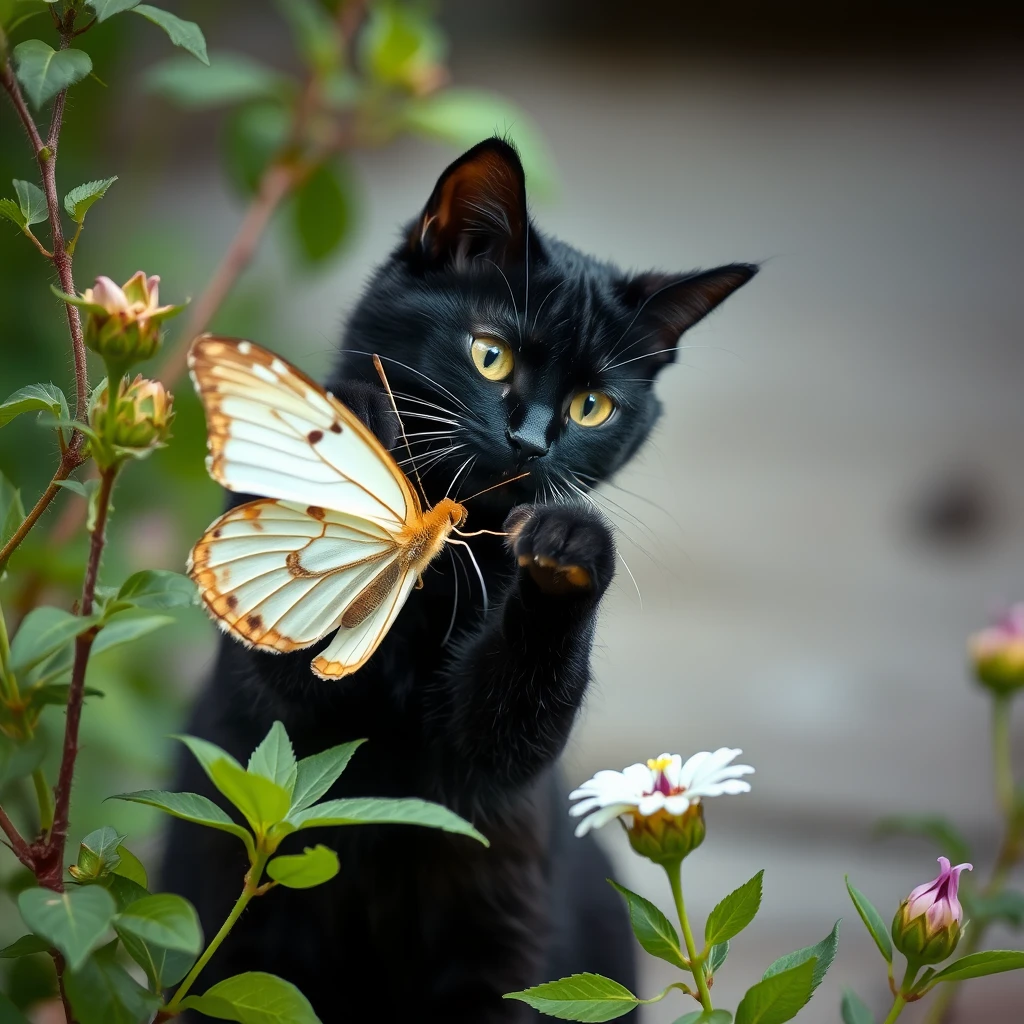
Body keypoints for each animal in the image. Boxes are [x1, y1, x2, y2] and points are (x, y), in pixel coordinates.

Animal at [163, 138, 757, 1024]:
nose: (531, 441)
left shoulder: (496, 765)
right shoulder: (277, 717)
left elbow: (519, 707)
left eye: (593, 406)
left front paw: (568, 545)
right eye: (490, 354)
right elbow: (291, 691)